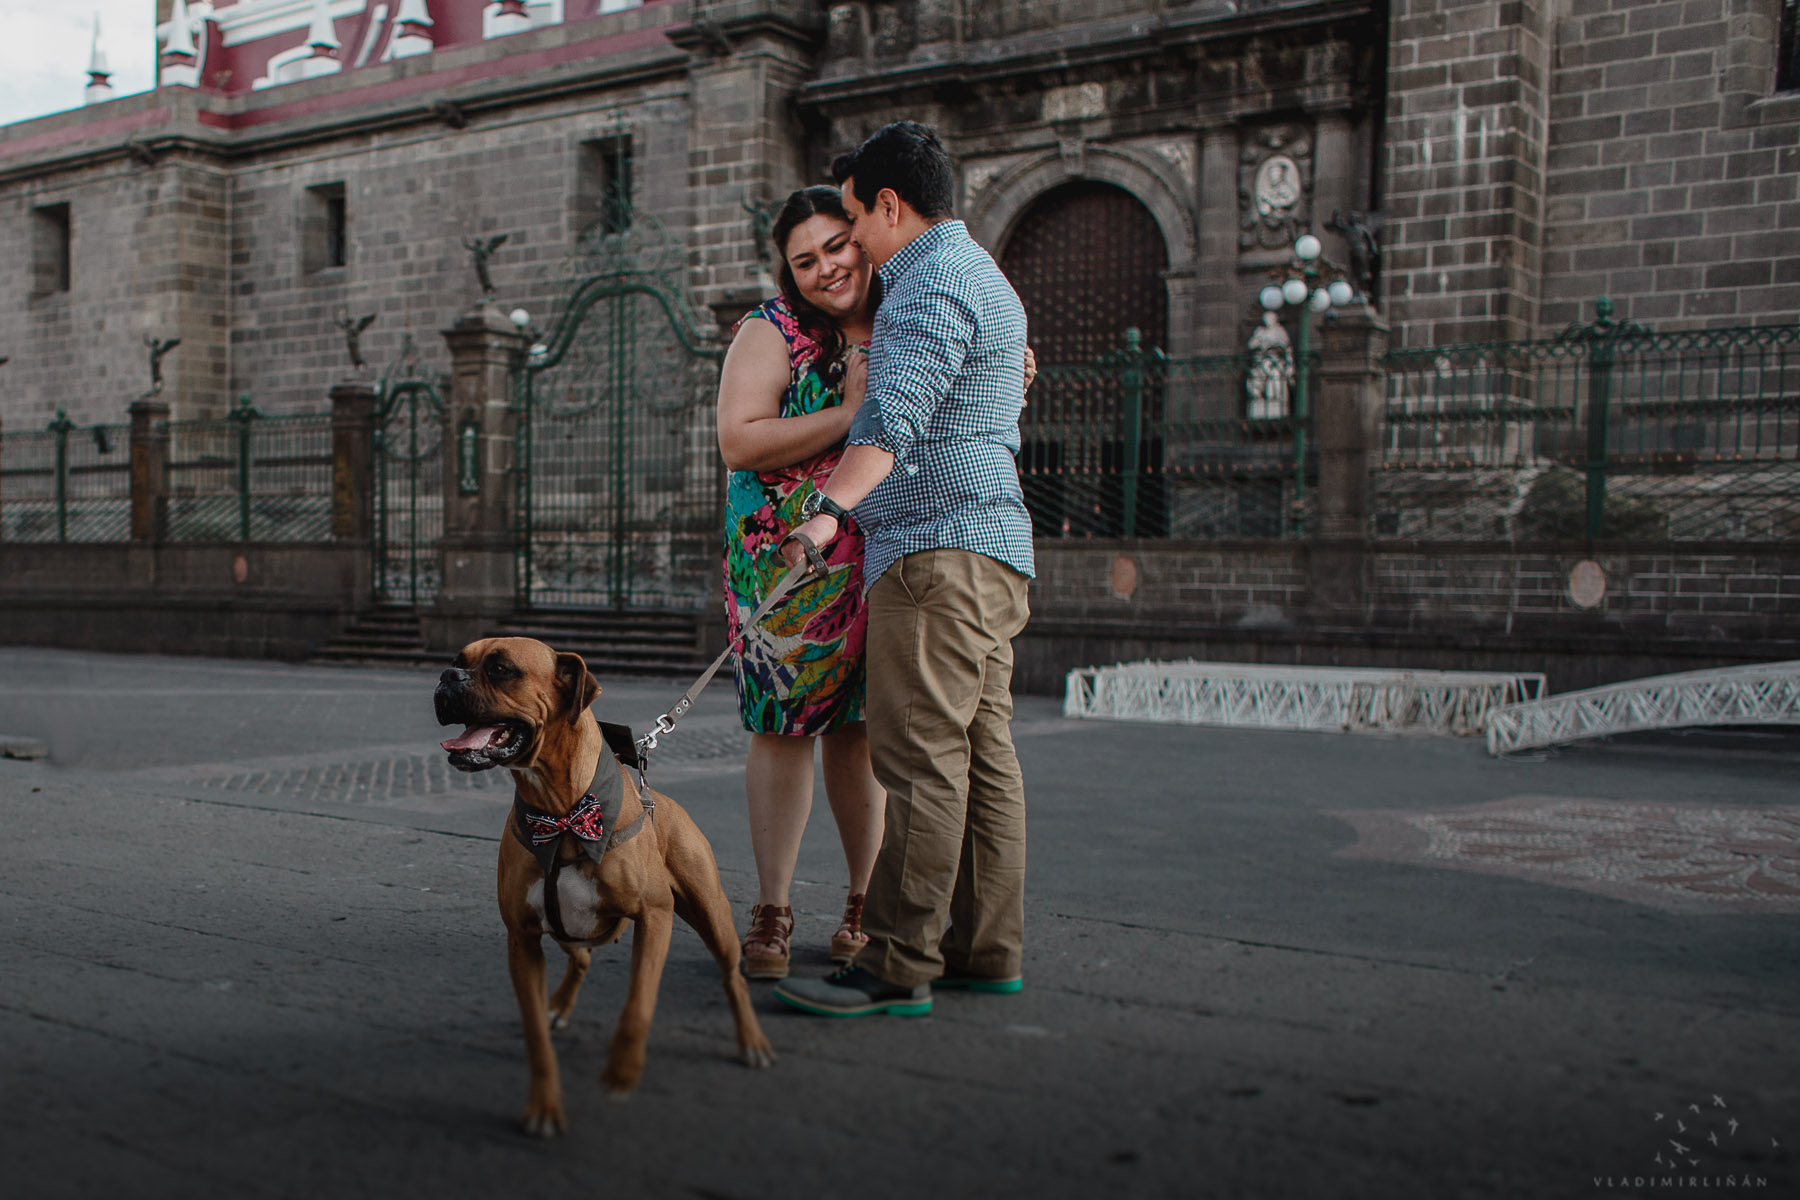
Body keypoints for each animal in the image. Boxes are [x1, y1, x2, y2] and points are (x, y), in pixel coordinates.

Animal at [439, 636, 777, 1137]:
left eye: (501, 669)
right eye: (458, 661)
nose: (447, 676)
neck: (562, 813)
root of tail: (666, 802)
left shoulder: (654, 918)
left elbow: (639, 1001)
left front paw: (622, 1070)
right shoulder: (523, 940)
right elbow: (534, 1032)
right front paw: (544, 1104)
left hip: (713, 917)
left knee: (732, 976)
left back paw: (752, 1040)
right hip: (566, 926)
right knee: (580, 957)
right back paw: (559, 1005)